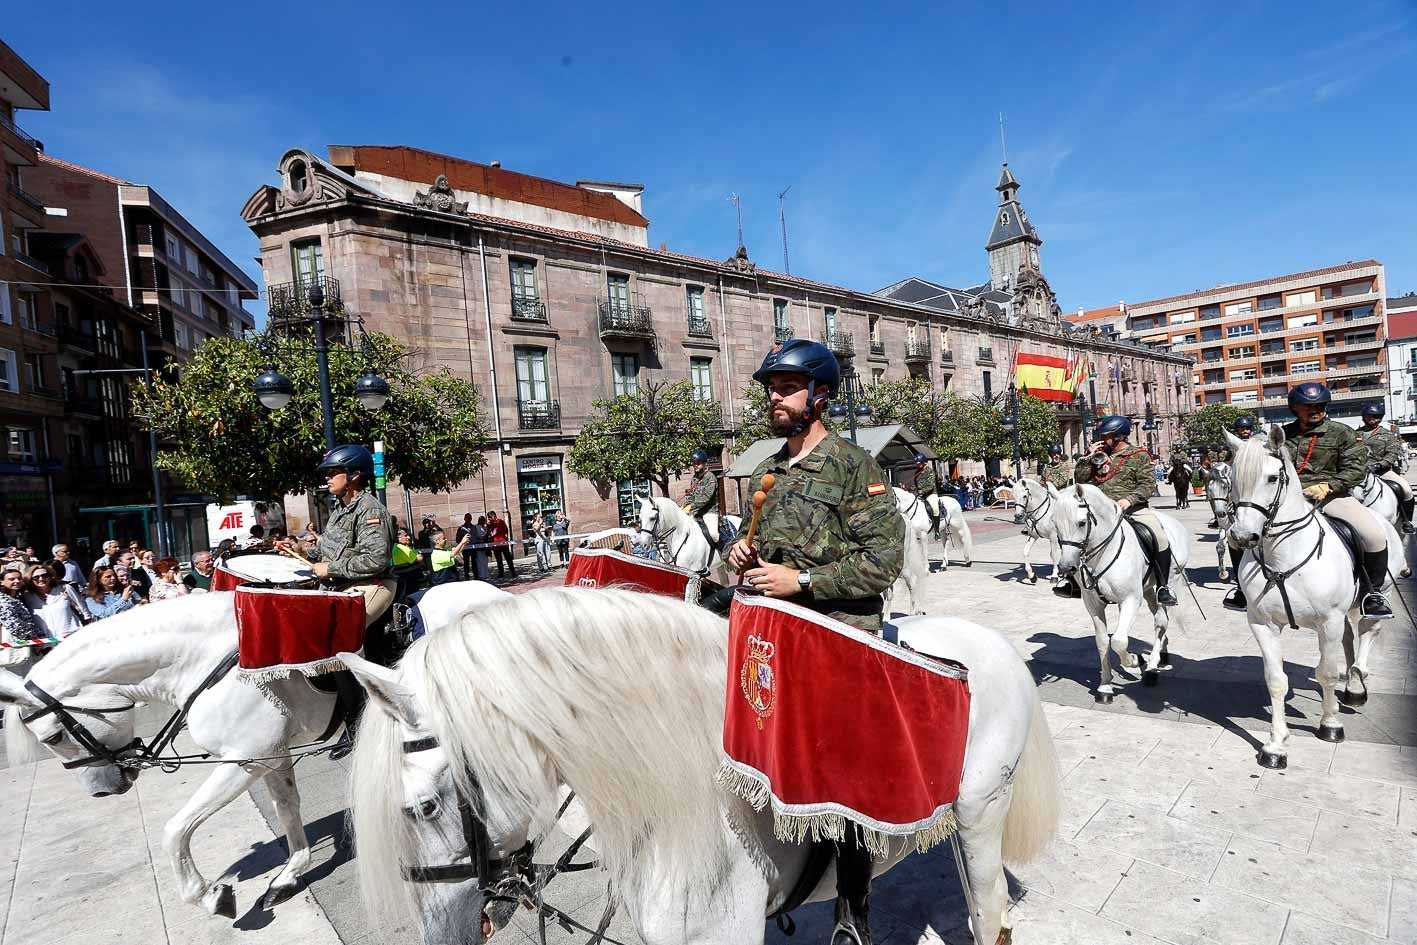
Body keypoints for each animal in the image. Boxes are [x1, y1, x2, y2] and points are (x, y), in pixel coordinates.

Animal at [0, 580, 510, 918]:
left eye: (52, 738)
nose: (102, 791)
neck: (203, 661)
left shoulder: (242, 761)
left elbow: (176, 828)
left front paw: (211, 895)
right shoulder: (271, 755)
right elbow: (287, 808)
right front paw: (289, 873)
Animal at [1059, 487, 1190, 702]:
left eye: (1082, 523)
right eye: (1056, 524)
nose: (1066, 567)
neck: (1103, 553)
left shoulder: (1130, 600)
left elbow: (1119, 641)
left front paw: (1136, 660)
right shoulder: (1093, 604)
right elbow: (1103, 641)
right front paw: (1105, 686)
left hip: (1171, 580)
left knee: (1161, 621)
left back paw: (1151, 669)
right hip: (1148, 590)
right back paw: (1162, 655)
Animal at [1218, 427, 1405, 770]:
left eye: (1272, 477)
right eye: (1233, 478)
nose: (1242, 536)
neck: (1283, 556)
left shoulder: (1328, 620)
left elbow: (1326, 673)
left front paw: (1330, 725)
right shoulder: (1263, 624)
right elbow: (1276, 680)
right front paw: (1275, 746)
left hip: (1376, 594)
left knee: (1367, 632)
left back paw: (1356, 684)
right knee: (1348, 639)